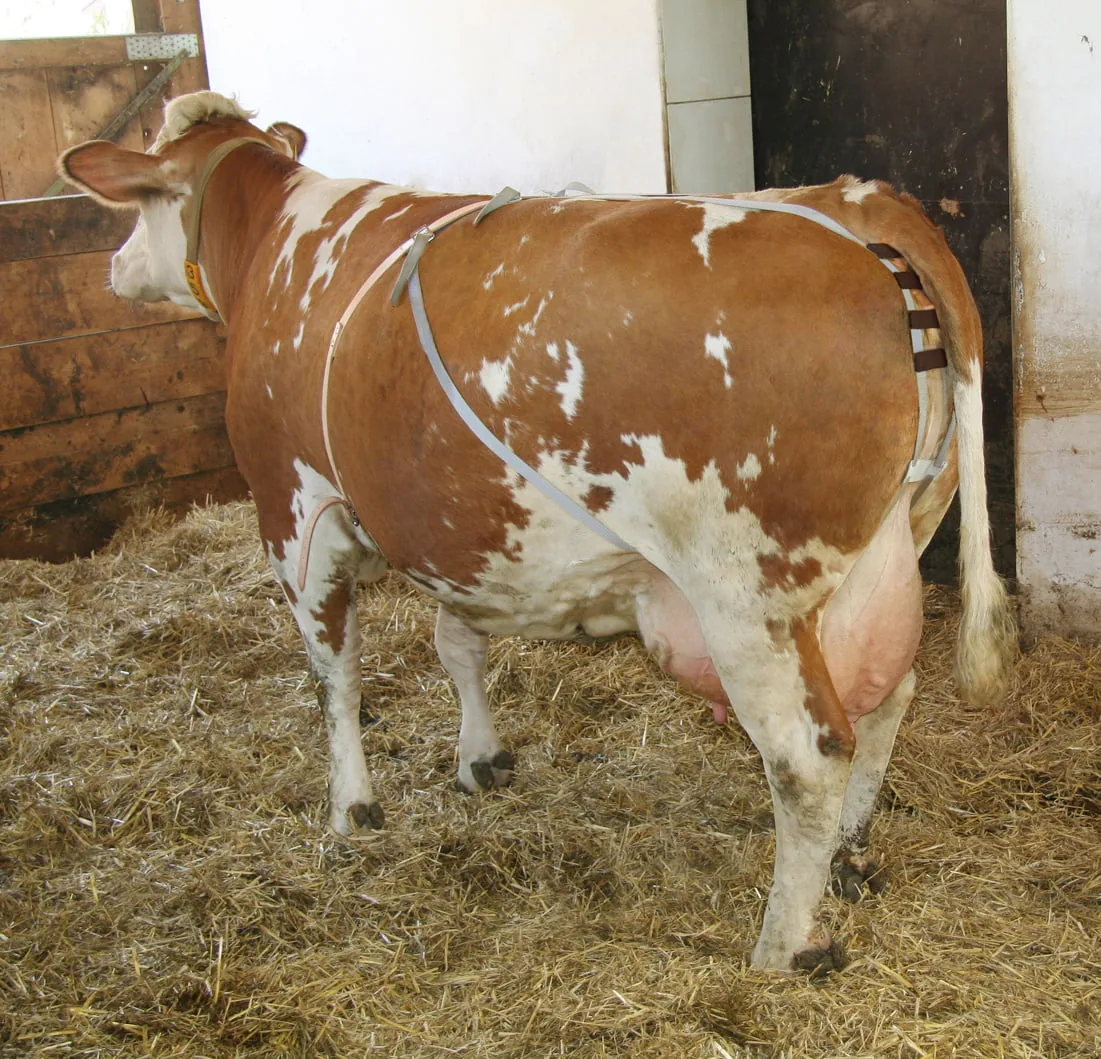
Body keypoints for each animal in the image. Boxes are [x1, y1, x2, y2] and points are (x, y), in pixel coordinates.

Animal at [59, 91, 1014, 974]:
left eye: (141, 199)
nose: (113, 265)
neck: (280, 243)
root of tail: (861, 204)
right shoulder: (458, 528)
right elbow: (456, 642)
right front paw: (481, 757)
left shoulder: (295, 506)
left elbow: (334, 676)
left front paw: (351, 808)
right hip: (889, 545)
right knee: (887, 698)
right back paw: (852, 853)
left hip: (749, 597)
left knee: (808, 758)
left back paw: (780, 944)